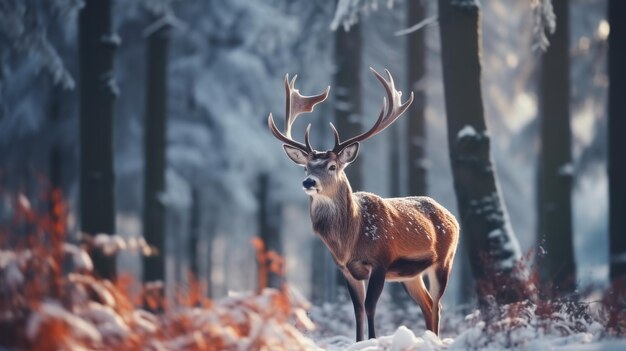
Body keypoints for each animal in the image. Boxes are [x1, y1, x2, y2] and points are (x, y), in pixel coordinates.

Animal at [266, 68, 458, 340]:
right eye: (306, 167)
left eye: (332, 166)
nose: (308, 181)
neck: (350, 240)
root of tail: (451, 216)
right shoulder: (345, 269)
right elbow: (356, 310)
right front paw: (358, 341)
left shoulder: (380, 261)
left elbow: (370, 306)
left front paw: (373, 340)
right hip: (410, 276)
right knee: (428, 304)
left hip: (444, 259)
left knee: (438, 304)